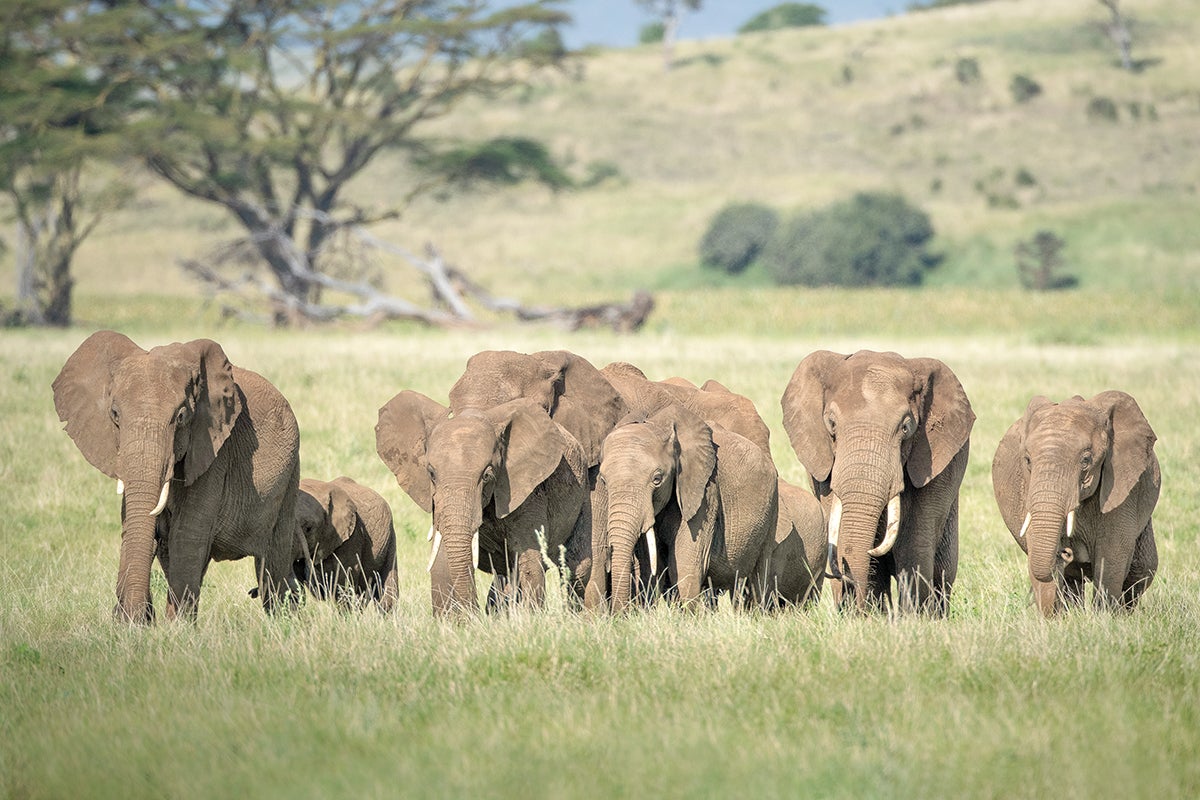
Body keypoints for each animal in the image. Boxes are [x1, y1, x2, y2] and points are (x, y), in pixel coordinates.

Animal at [52, 330, 300, 623]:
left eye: (181, 416)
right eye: (114, 414)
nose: (138, 616)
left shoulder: (214, 449)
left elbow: (187, 534)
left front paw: (175, 629)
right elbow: (142, 530)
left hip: (290, 476)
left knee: (273, 563)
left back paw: (282, 623)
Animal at [375, 392, 590, 616]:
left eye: (487, 475)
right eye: (431, 474)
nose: (474, 613)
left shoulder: (528, 492)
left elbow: (528, 559)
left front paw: (530, 617)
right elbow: (442, 559)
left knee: (577, 567)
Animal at [598, 364, 779, 611]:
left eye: (657, 479)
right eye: (603, 480)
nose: (618, 616)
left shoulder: (705, 490)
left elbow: (685, 564)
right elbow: (651, 564)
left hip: (772, 507)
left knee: (759, 575)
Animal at [781, 349, 975, 616]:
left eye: (906, 427)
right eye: (831, 424)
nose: (845, 578)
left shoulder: (938, 464)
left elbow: (915, 540)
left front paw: (913, 619)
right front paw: (868, 618)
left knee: (942, 573)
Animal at [991, 391, 1160, 616]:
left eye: (1086, 460)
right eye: (1027, 460)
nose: (1065, 551)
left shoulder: (1124, 488)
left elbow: (1112, 553)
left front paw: (1104, 619)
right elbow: (1037, 546)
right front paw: (1052, 620)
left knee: (1142, 569)